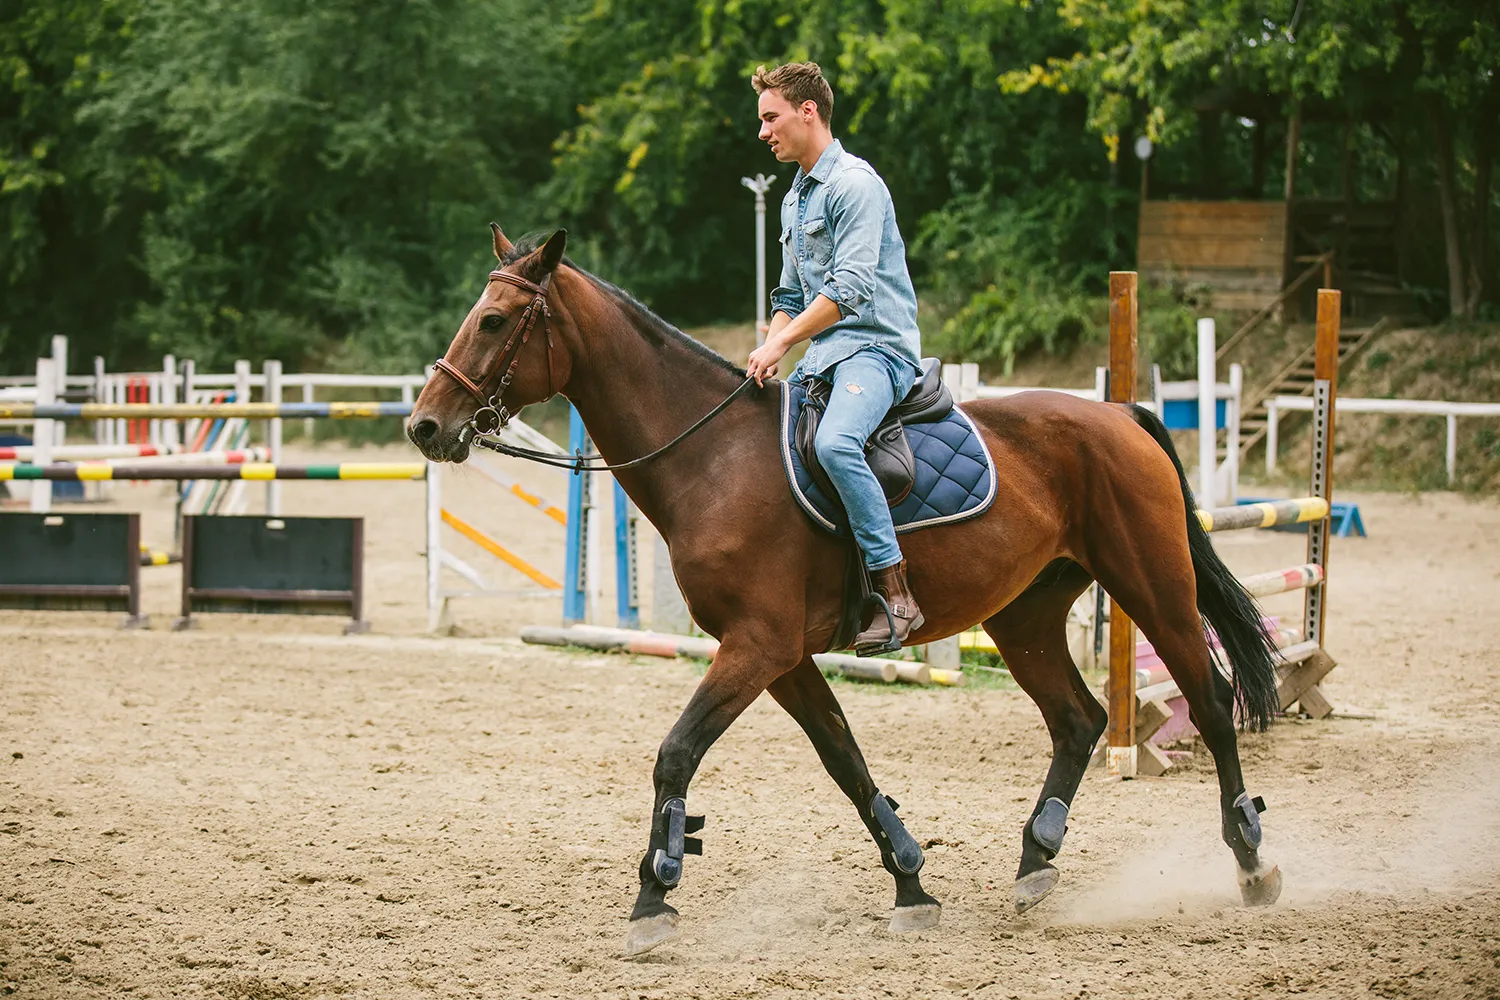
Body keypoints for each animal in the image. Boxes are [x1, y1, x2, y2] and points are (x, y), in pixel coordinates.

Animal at [407, 226, 1286, 956]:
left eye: (493, 322)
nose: (423, 426)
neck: (712, 458)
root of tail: (1120, 416)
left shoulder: (756, 647)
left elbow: (676, 755)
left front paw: (654, 895)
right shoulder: (783, 657)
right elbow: (846, 761)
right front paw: (911, 883)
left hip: (1151, 582)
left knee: (1210, 702)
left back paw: (1251, 863)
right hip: (1025, 615)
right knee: (1079, 720)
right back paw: (1036, 860)